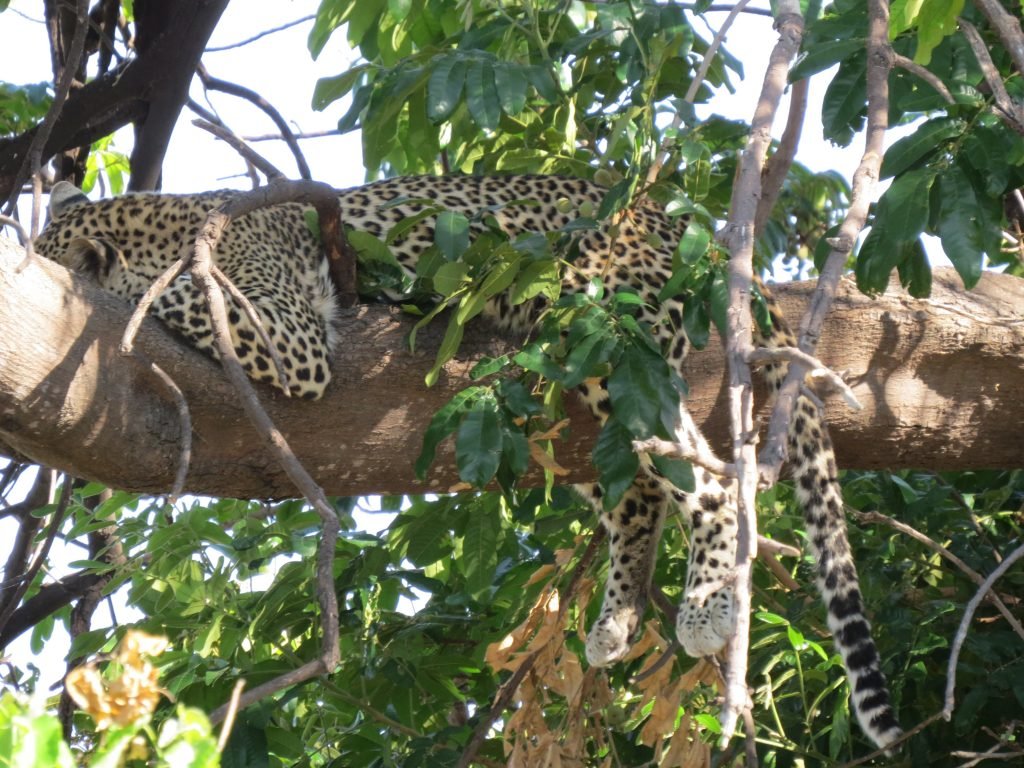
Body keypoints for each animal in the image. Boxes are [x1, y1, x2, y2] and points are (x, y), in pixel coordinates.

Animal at [36, 173, 905, 753]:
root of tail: (674, 221)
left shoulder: (287, 331)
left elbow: (176, 293)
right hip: (578, 379)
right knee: (639, 495)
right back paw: (617, 617)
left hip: (614, 328)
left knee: (711, 480)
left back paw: (704, 606)